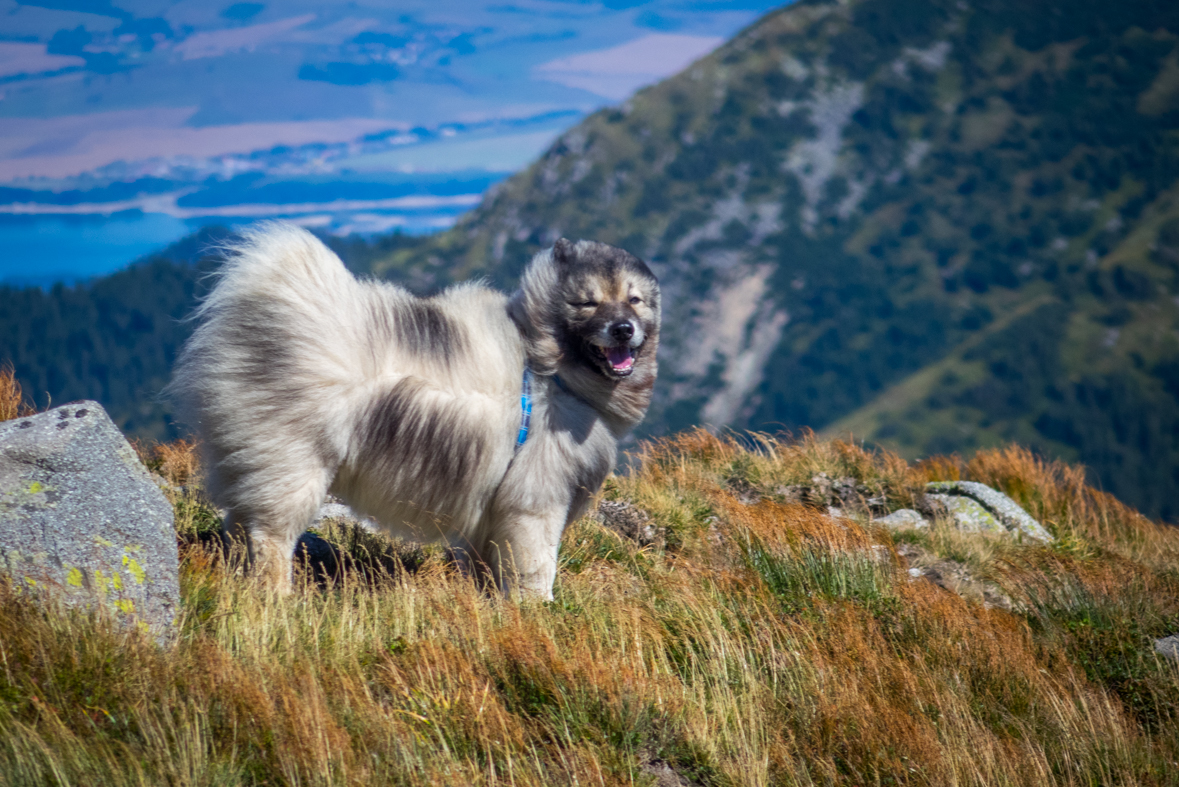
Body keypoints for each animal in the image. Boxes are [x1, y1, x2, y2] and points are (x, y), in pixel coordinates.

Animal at [169, 221, 660, 596]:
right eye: (587, 302)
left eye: (634, 299)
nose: (623, 329)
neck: (549, 368)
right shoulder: (534, 505)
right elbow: (536, 571)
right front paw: (538, 612)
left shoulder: (487, 513)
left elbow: (485, 571)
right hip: (294, 468)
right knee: (269, 537)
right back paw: (278, 598)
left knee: (239, 528)